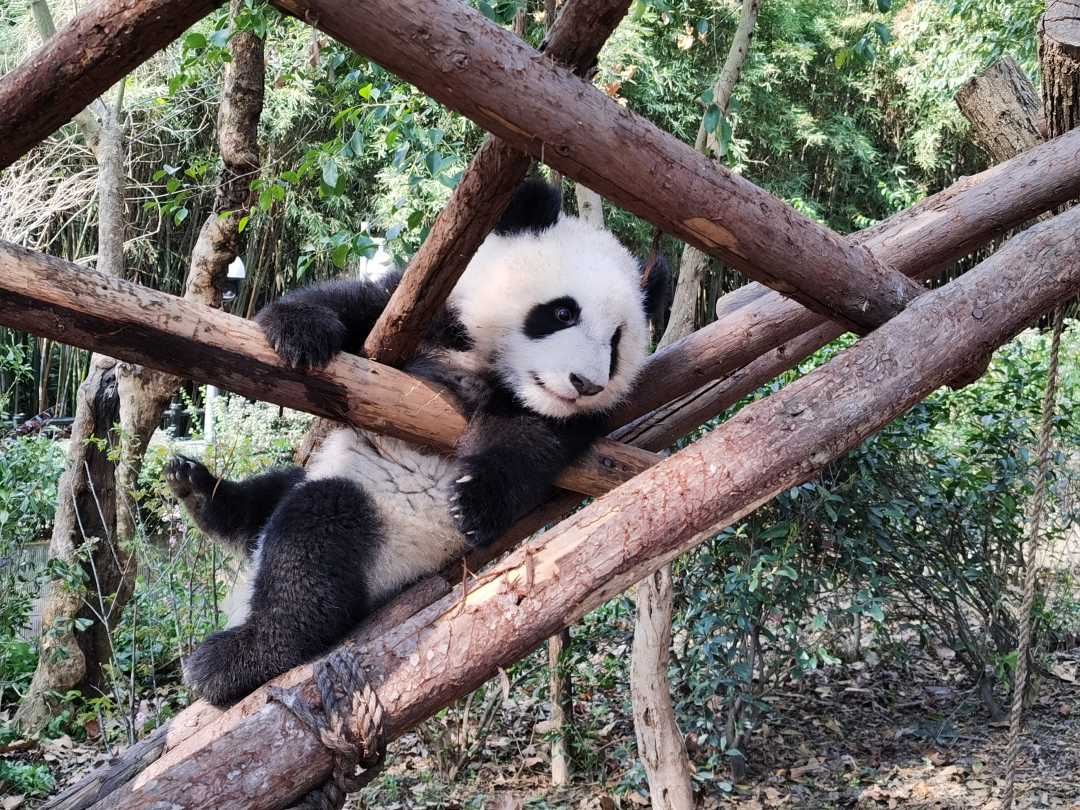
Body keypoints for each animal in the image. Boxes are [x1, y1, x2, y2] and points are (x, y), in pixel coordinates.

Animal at [165, 179, 668, 706]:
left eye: (616, 343)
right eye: (562, 312)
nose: (586, 384)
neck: (488, 364)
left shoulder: (566, 418)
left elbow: (530, 443)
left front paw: (474, 500)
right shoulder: (434, 309)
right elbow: (365, 303)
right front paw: (298, 330)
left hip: (392, 540)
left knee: (313, 544)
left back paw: (236, 658)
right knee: (272, 494)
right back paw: (201, 492)